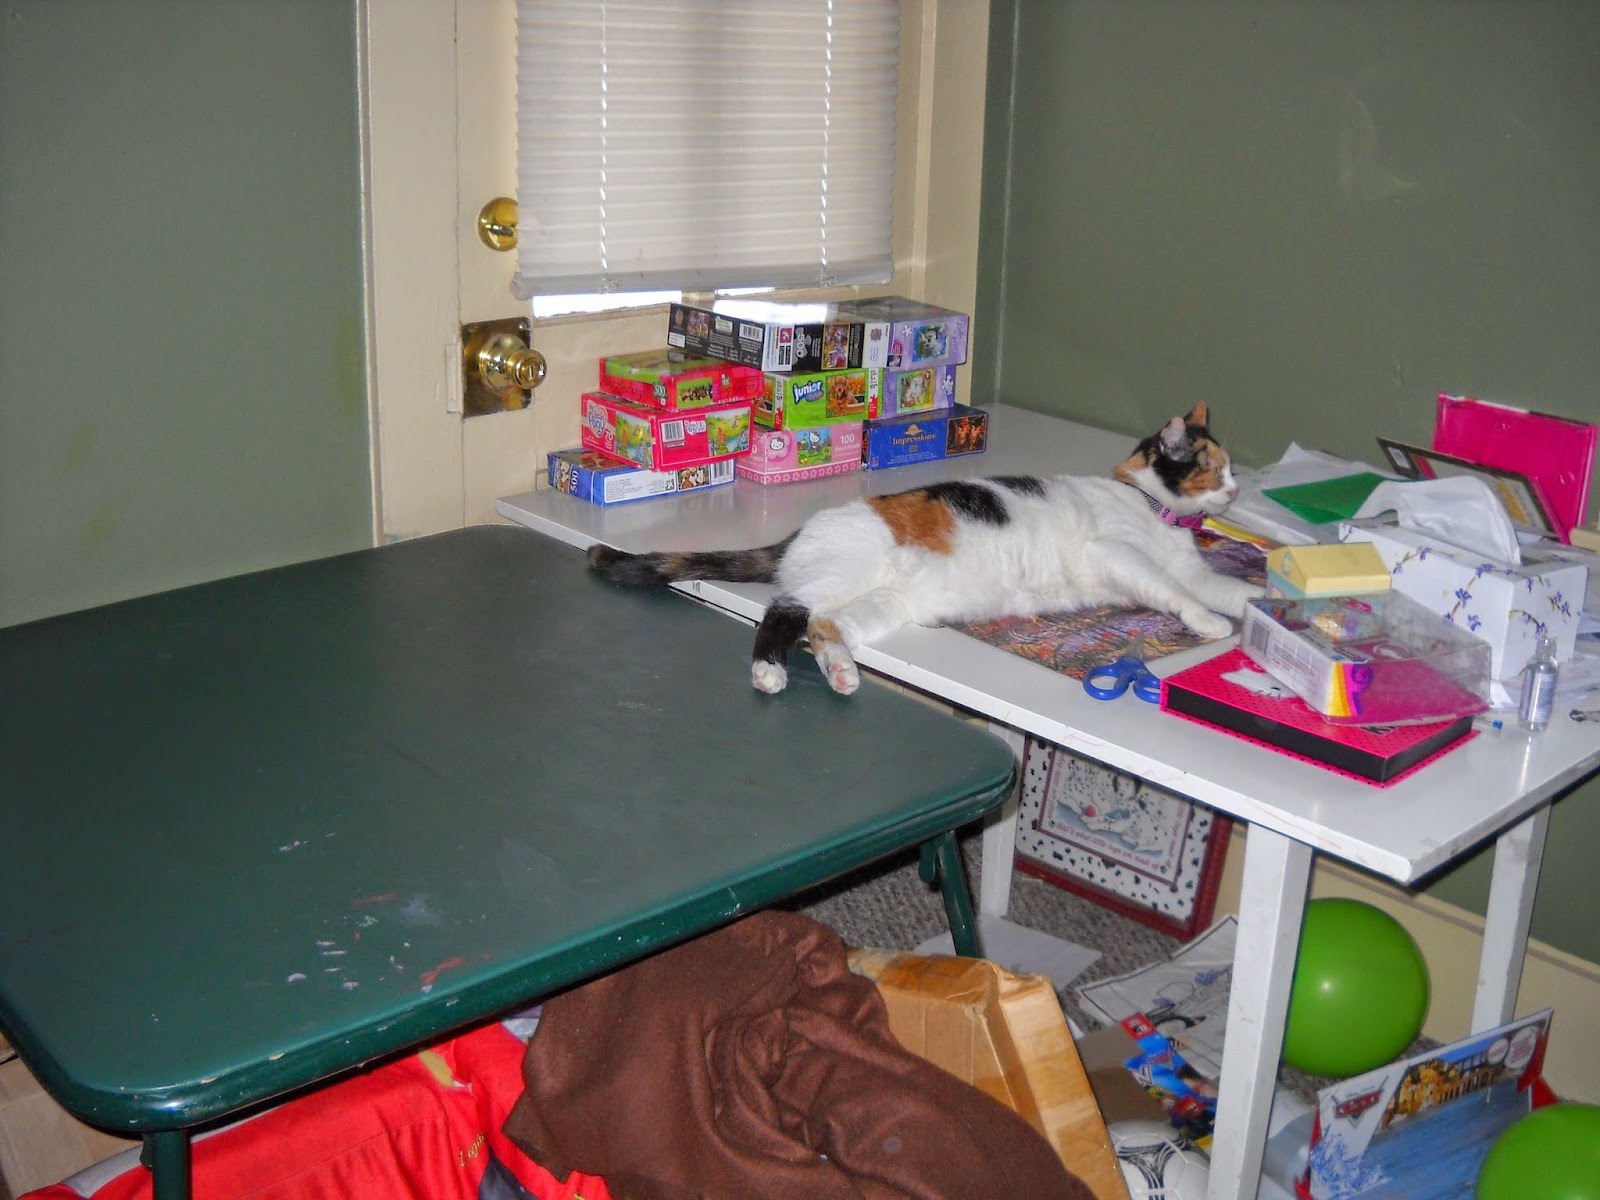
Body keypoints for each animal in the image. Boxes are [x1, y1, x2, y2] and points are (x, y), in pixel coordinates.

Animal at [587, 403, 1262, 696]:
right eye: (1216, 468)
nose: (1239, 489)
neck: (1152, 508)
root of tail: (799, 533)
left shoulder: (1194, 568)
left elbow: (1229, 590)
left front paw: (1265, 604)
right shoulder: (1116, 555)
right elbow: (1171, 590)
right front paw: (1207, 624)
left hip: (885, 605)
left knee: (823, 625)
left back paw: (841, 671)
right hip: (844, 572)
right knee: (783, 611)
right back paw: (769, 671)